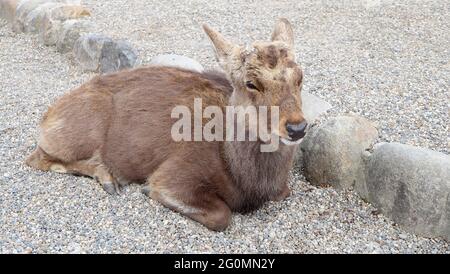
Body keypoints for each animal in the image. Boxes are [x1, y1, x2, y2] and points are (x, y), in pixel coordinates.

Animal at [24, 18, 306, 230]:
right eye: (250, 83)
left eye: (300, 77)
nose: (297, 128)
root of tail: (47, 117)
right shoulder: (175, 174)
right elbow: (221, 216)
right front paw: (146, 190)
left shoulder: (282, 189)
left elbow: (286, 192)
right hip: (75, 135)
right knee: (37, 158)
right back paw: (108, 176)